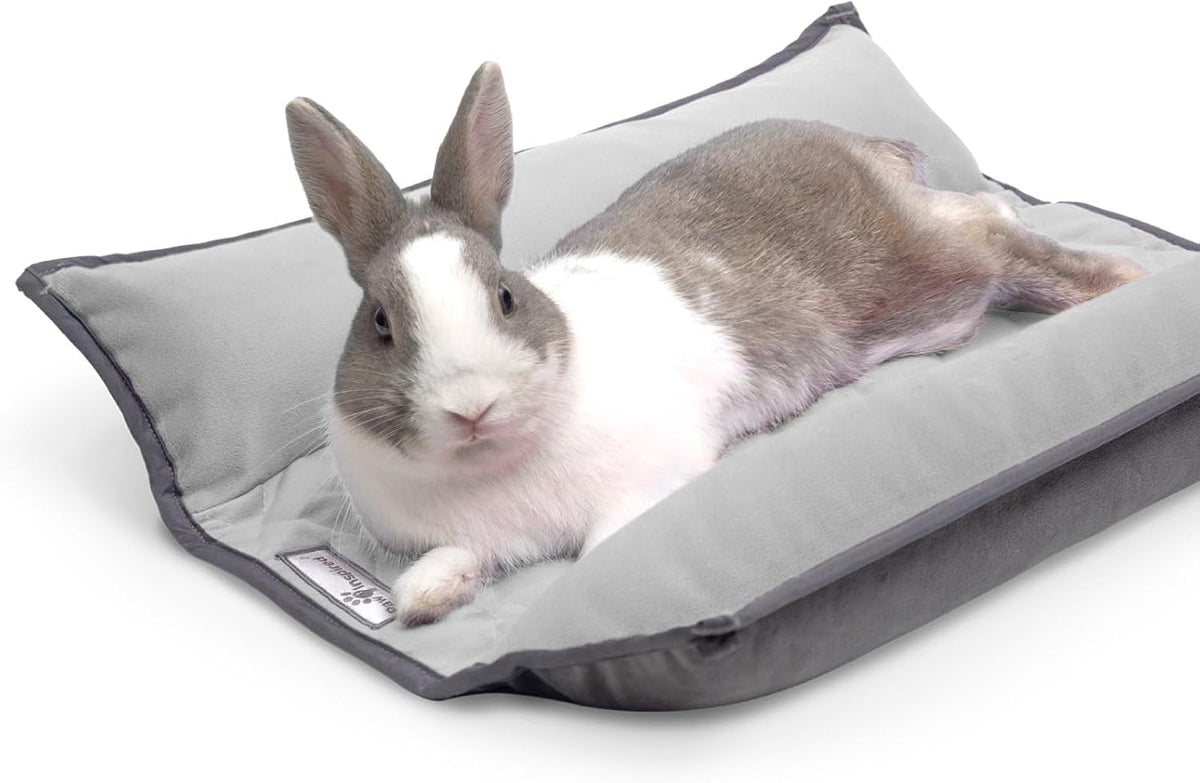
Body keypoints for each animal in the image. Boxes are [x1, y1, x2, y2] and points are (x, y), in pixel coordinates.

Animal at [285, 63, 1144, 626]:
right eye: (381, 323)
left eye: (504, 295)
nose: (472, 405)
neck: (491, 467)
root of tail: (862, 148)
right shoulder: (469, 538)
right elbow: (437, 569)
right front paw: (424, 600)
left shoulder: (647, 485)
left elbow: (601, 553)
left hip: (925, 268)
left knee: (994, 232)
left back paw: (1123, 277)